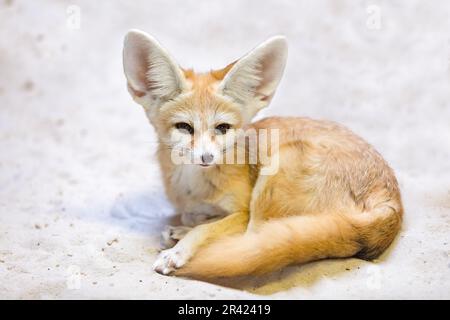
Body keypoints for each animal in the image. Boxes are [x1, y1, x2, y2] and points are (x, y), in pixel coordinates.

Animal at [122, 29, 400, 278]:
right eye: (184, 127)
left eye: (222, 128)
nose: (206, 158)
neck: (196, 188)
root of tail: (393, 202)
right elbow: (198, 217)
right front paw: (189, 226)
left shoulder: (243, 210)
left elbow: (209, 229)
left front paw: (181, 248)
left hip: (277, 170)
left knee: (251, 242)